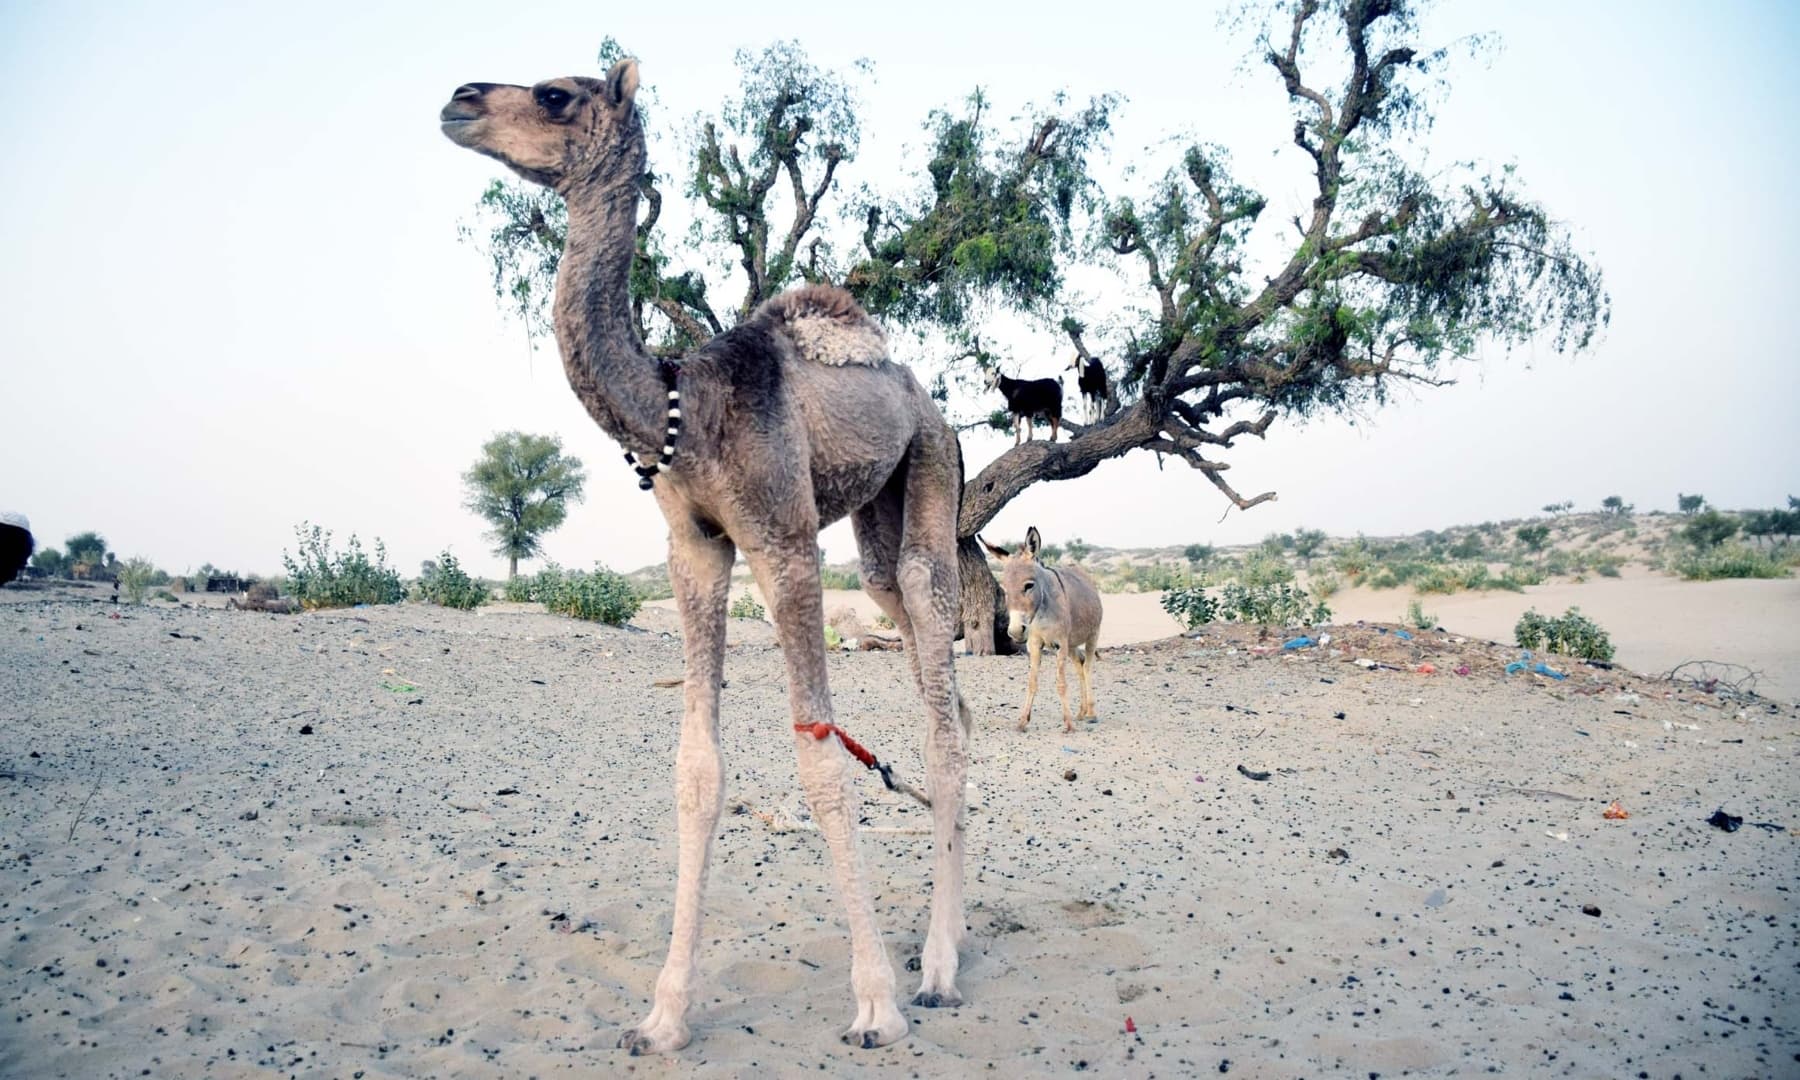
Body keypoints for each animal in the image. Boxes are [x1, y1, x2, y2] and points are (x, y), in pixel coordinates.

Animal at [435, 61, 972, 1051]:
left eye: (557, 94)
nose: (461, 99)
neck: (681, 408)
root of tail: (926, 400)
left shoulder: (783, 540)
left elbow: (818, 759)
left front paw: (874, 1002)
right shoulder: (696, 548)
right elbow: (697, 770)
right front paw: (662, 1014)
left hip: (931, 465)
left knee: (939, 697)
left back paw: (937, 969)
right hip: (876, 533)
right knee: (946, 691)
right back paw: (946, 941)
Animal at [979, 525, 1101, 730]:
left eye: (1029, 585)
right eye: (1004, 589)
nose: (1015, 631)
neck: (1043, 613)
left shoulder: (1060, 645)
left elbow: (1061, 684)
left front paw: (1068, 724)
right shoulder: (1035, 644)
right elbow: (1032, 682)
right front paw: (1022, 721)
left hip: (1092, 635)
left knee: (1088, 667)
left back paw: (1091, 713)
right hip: (1072, 644)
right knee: (1080, 664)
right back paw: (1081, 712)